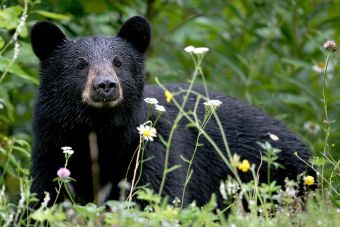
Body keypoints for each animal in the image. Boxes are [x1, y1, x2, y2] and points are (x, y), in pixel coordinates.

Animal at [30, 15, 314, 207]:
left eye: (118, 63)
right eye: (80, 65)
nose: (106, 85)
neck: (99, 130)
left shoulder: (150, 147)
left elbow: (159, 193)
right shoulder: (51, 144)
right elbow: (45, 195)